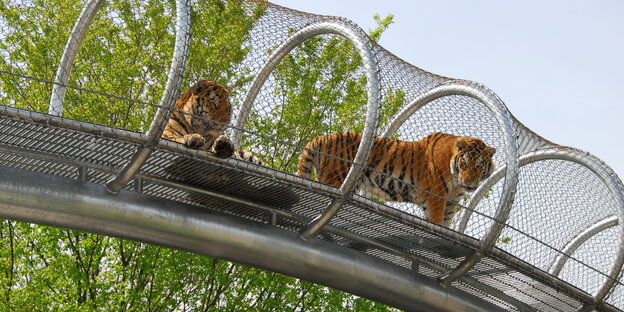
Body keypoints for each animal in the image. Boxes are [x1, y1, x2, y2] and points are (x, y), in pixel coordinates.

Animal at [298, 132, 498, 227]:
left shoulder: (450, 203)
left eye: (478, 166)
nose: (469, 184)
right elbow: (435, 221)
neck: (456, 183)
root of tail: (321, 138)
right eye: (464, 163)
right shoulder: (436, 197)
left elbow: (445, 225)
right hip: (335, 180)